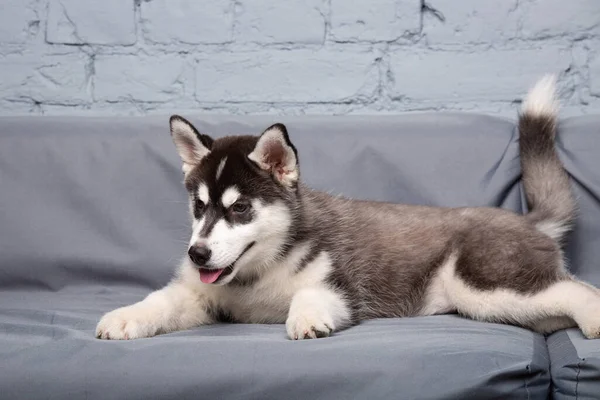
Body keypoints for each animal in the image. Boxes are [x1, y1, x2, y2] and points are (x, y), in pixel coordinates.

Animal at [97, 76, 600, 342]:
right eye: (199, 207)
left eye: (239, 208)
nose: (197, 254)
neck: (260, 275)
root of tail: (527, 221)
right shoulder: (201, 295)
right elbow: (162, 300)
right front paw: (125, 316)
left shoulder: (343, 288)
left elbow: (310, 294)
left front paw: (305, 318)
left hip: (484, 283)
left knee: (577, 289)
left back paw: (592, 323)